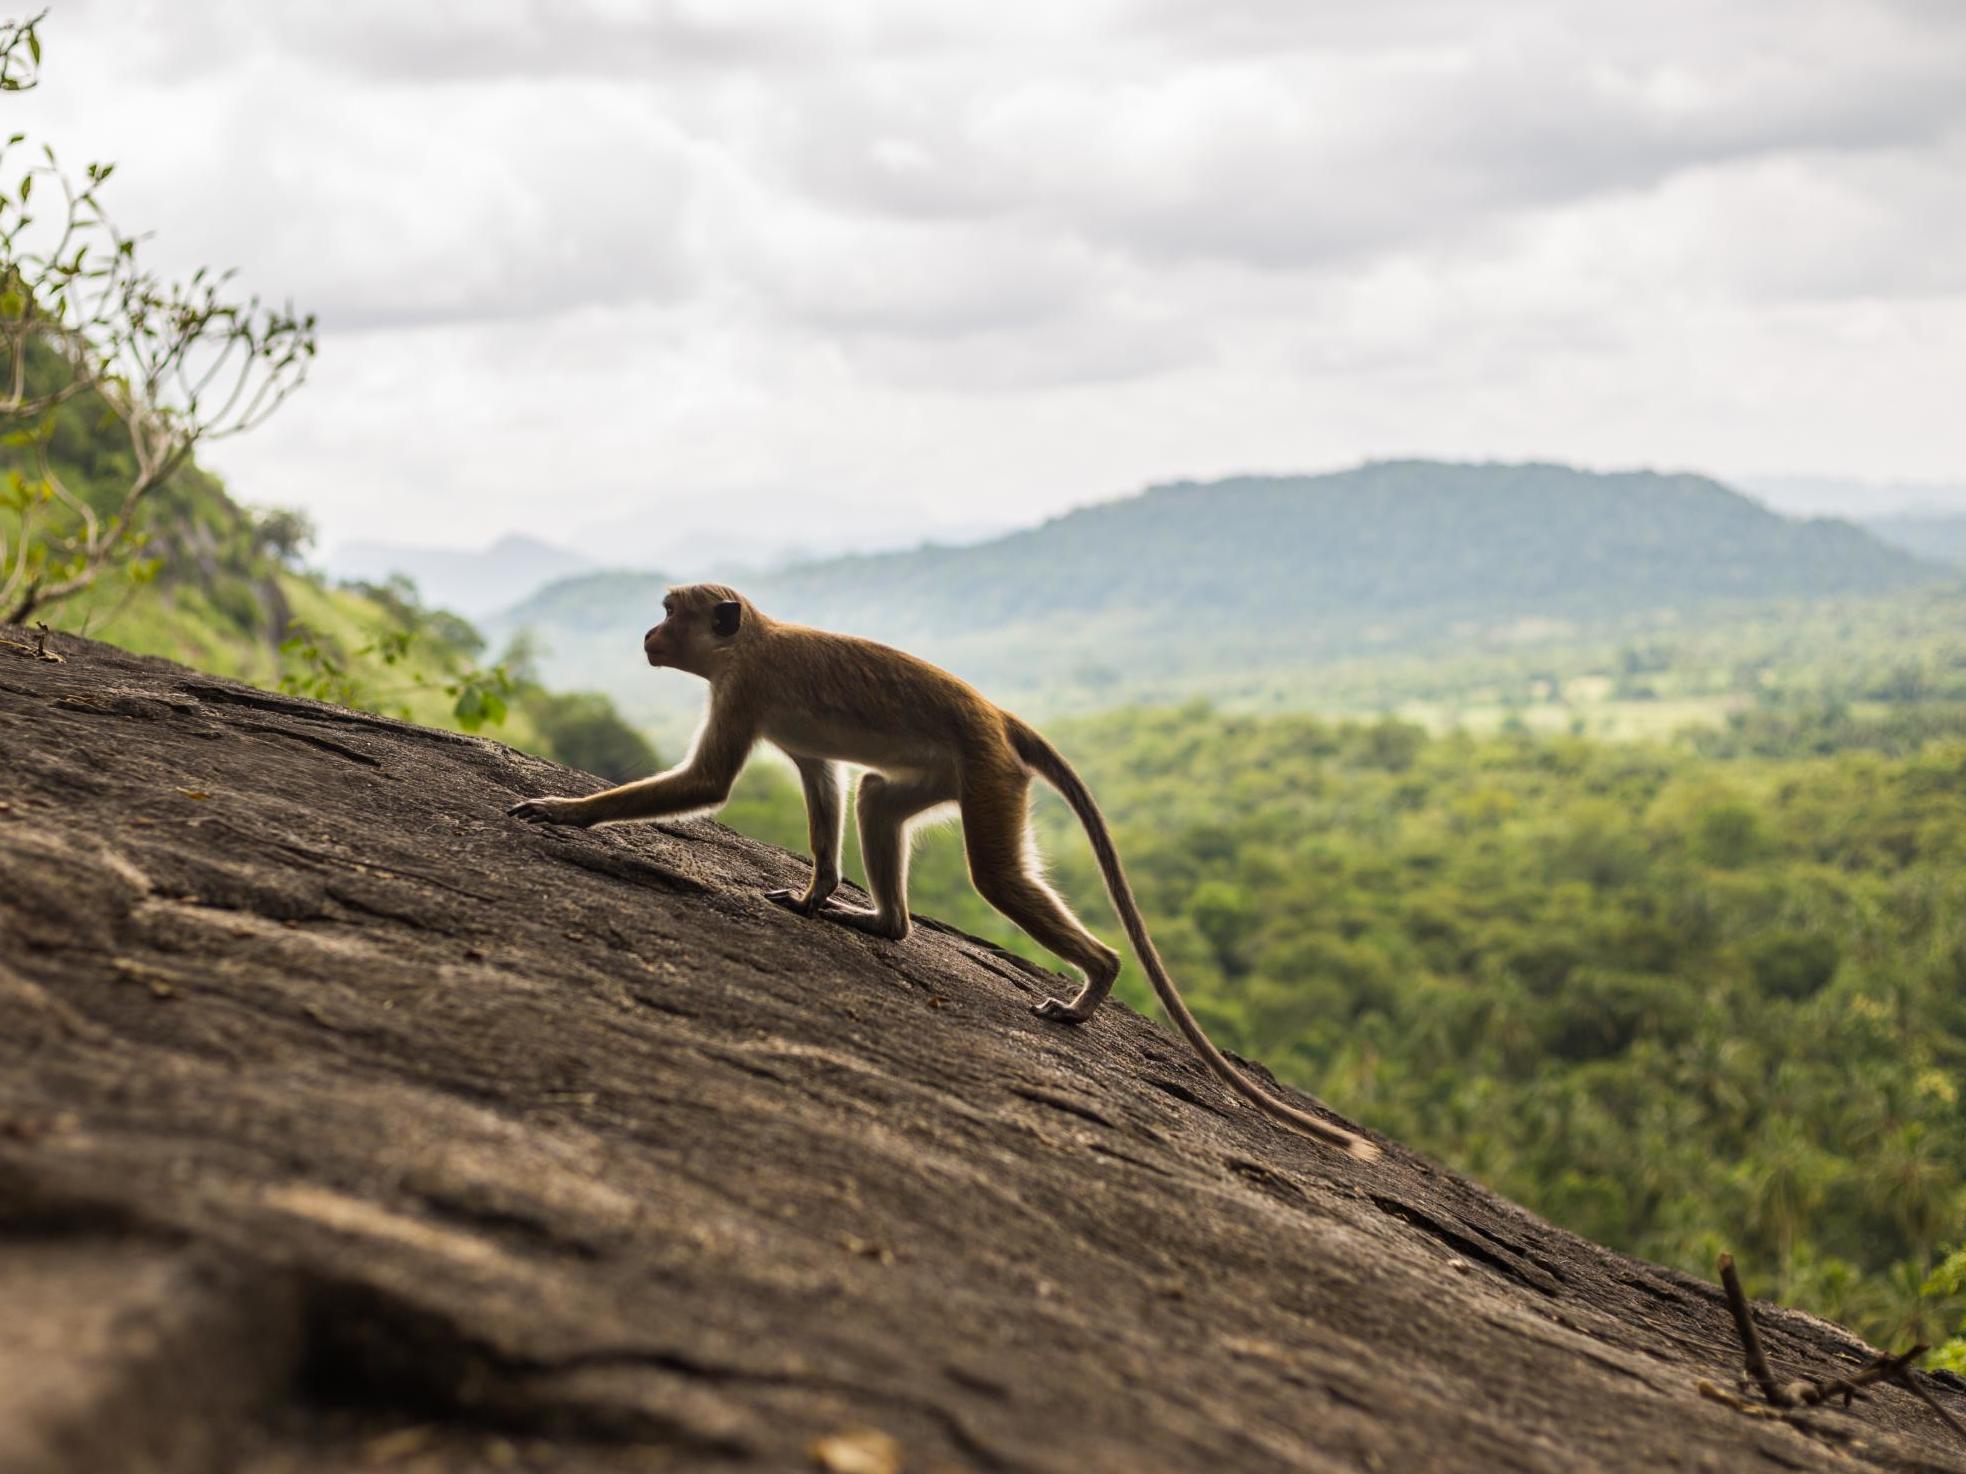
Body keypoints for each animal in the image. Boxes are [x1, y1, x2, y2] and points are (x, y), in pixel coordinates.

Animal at [515, 581, 1384, 1163]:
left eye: (673, 613)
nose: (648, 633)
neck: (748, 642)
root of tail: (999, 715)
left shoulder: (744, 689)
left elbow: (709, 784)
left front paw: (564, 810)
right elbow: (823, 783)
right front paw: (815, 892)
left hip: (989, 771)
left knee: (996, 875)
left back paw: (1095, 981)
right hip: (953, 770)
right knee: (876, 798)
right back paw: (887, 923)